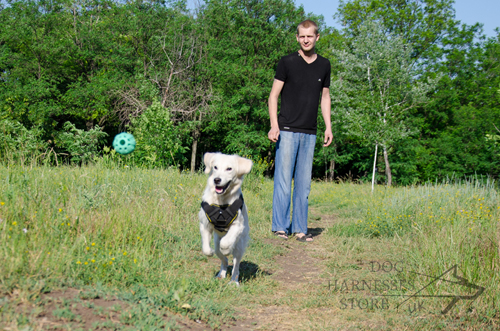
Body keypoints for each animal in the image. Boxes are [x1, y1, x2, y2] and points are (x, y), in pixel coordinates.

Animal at [199, 153, 254, 286]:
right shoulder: (204, 224)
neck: (221, 202)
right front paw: (209, 252)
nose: (217, 180)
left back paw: (234, 281)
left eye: (229, 169)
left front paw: (226, 249)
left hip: (239, 246)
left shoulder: (238, 225)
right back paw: (221, 274)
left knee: (235, 266)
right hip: (216, 242)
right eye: (215, 167)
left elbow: (225, 242)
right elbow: (206, 248)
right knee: (224, 260)